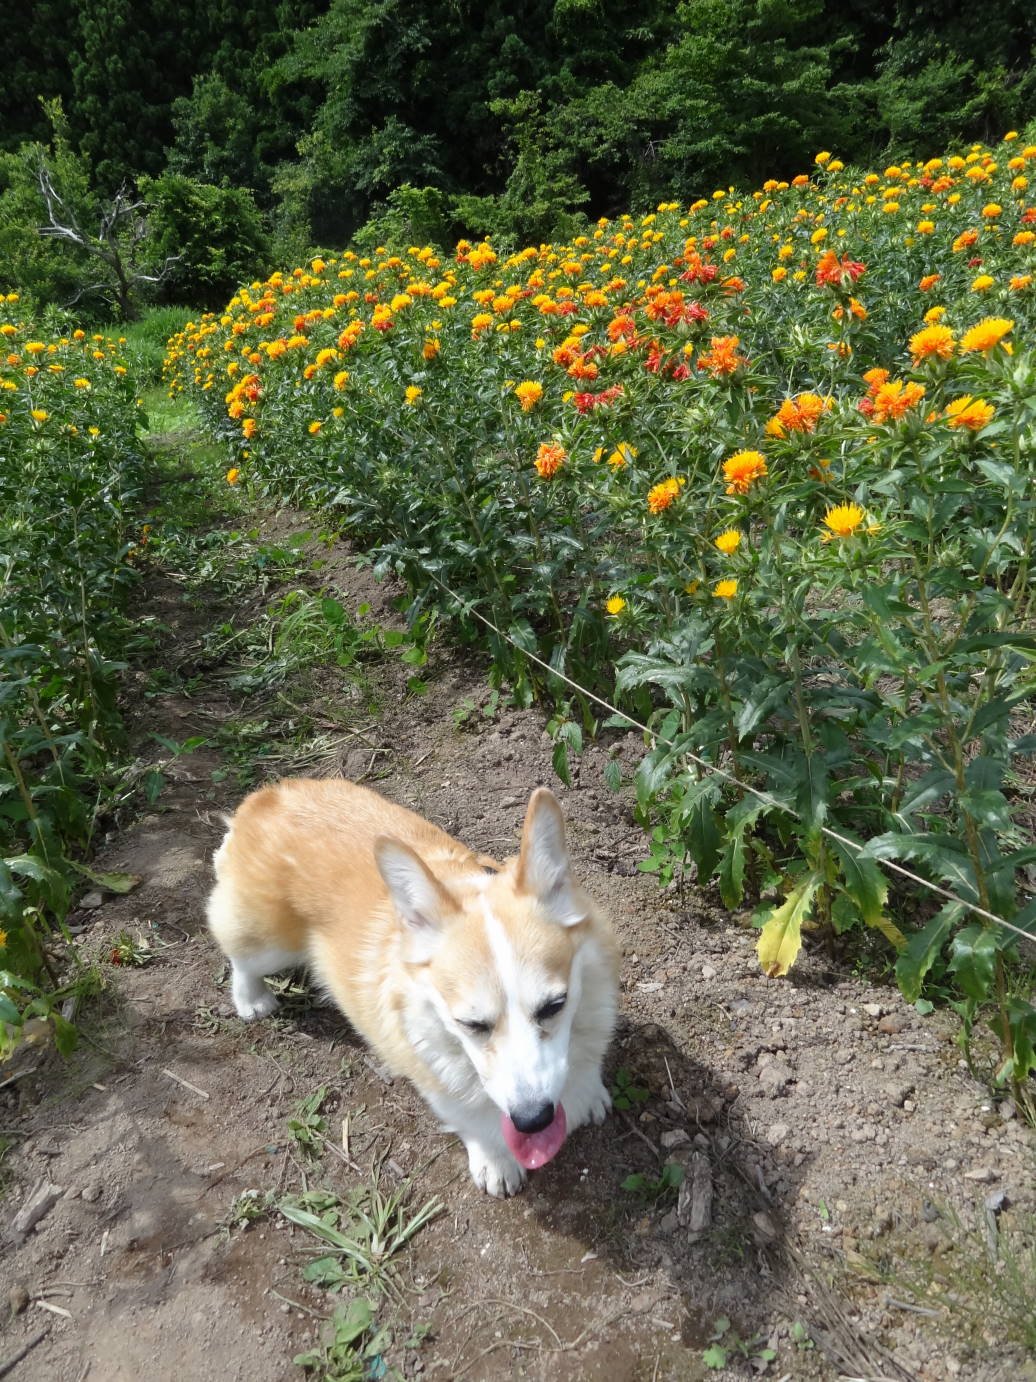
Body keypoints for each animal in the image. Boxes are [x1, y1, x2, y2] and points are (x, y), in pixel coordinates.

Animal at [207, 784, 621, 1194]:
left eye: (554, 1005)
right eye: (471, 1024)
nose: (533, 1120)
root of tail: (265, 798)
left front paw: (588, 1094)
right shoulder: (433, 1070)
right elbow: (473, 1121)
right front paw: (497, 1162)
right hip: (270, 944)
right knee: (238, 951)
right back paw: (252, 999)